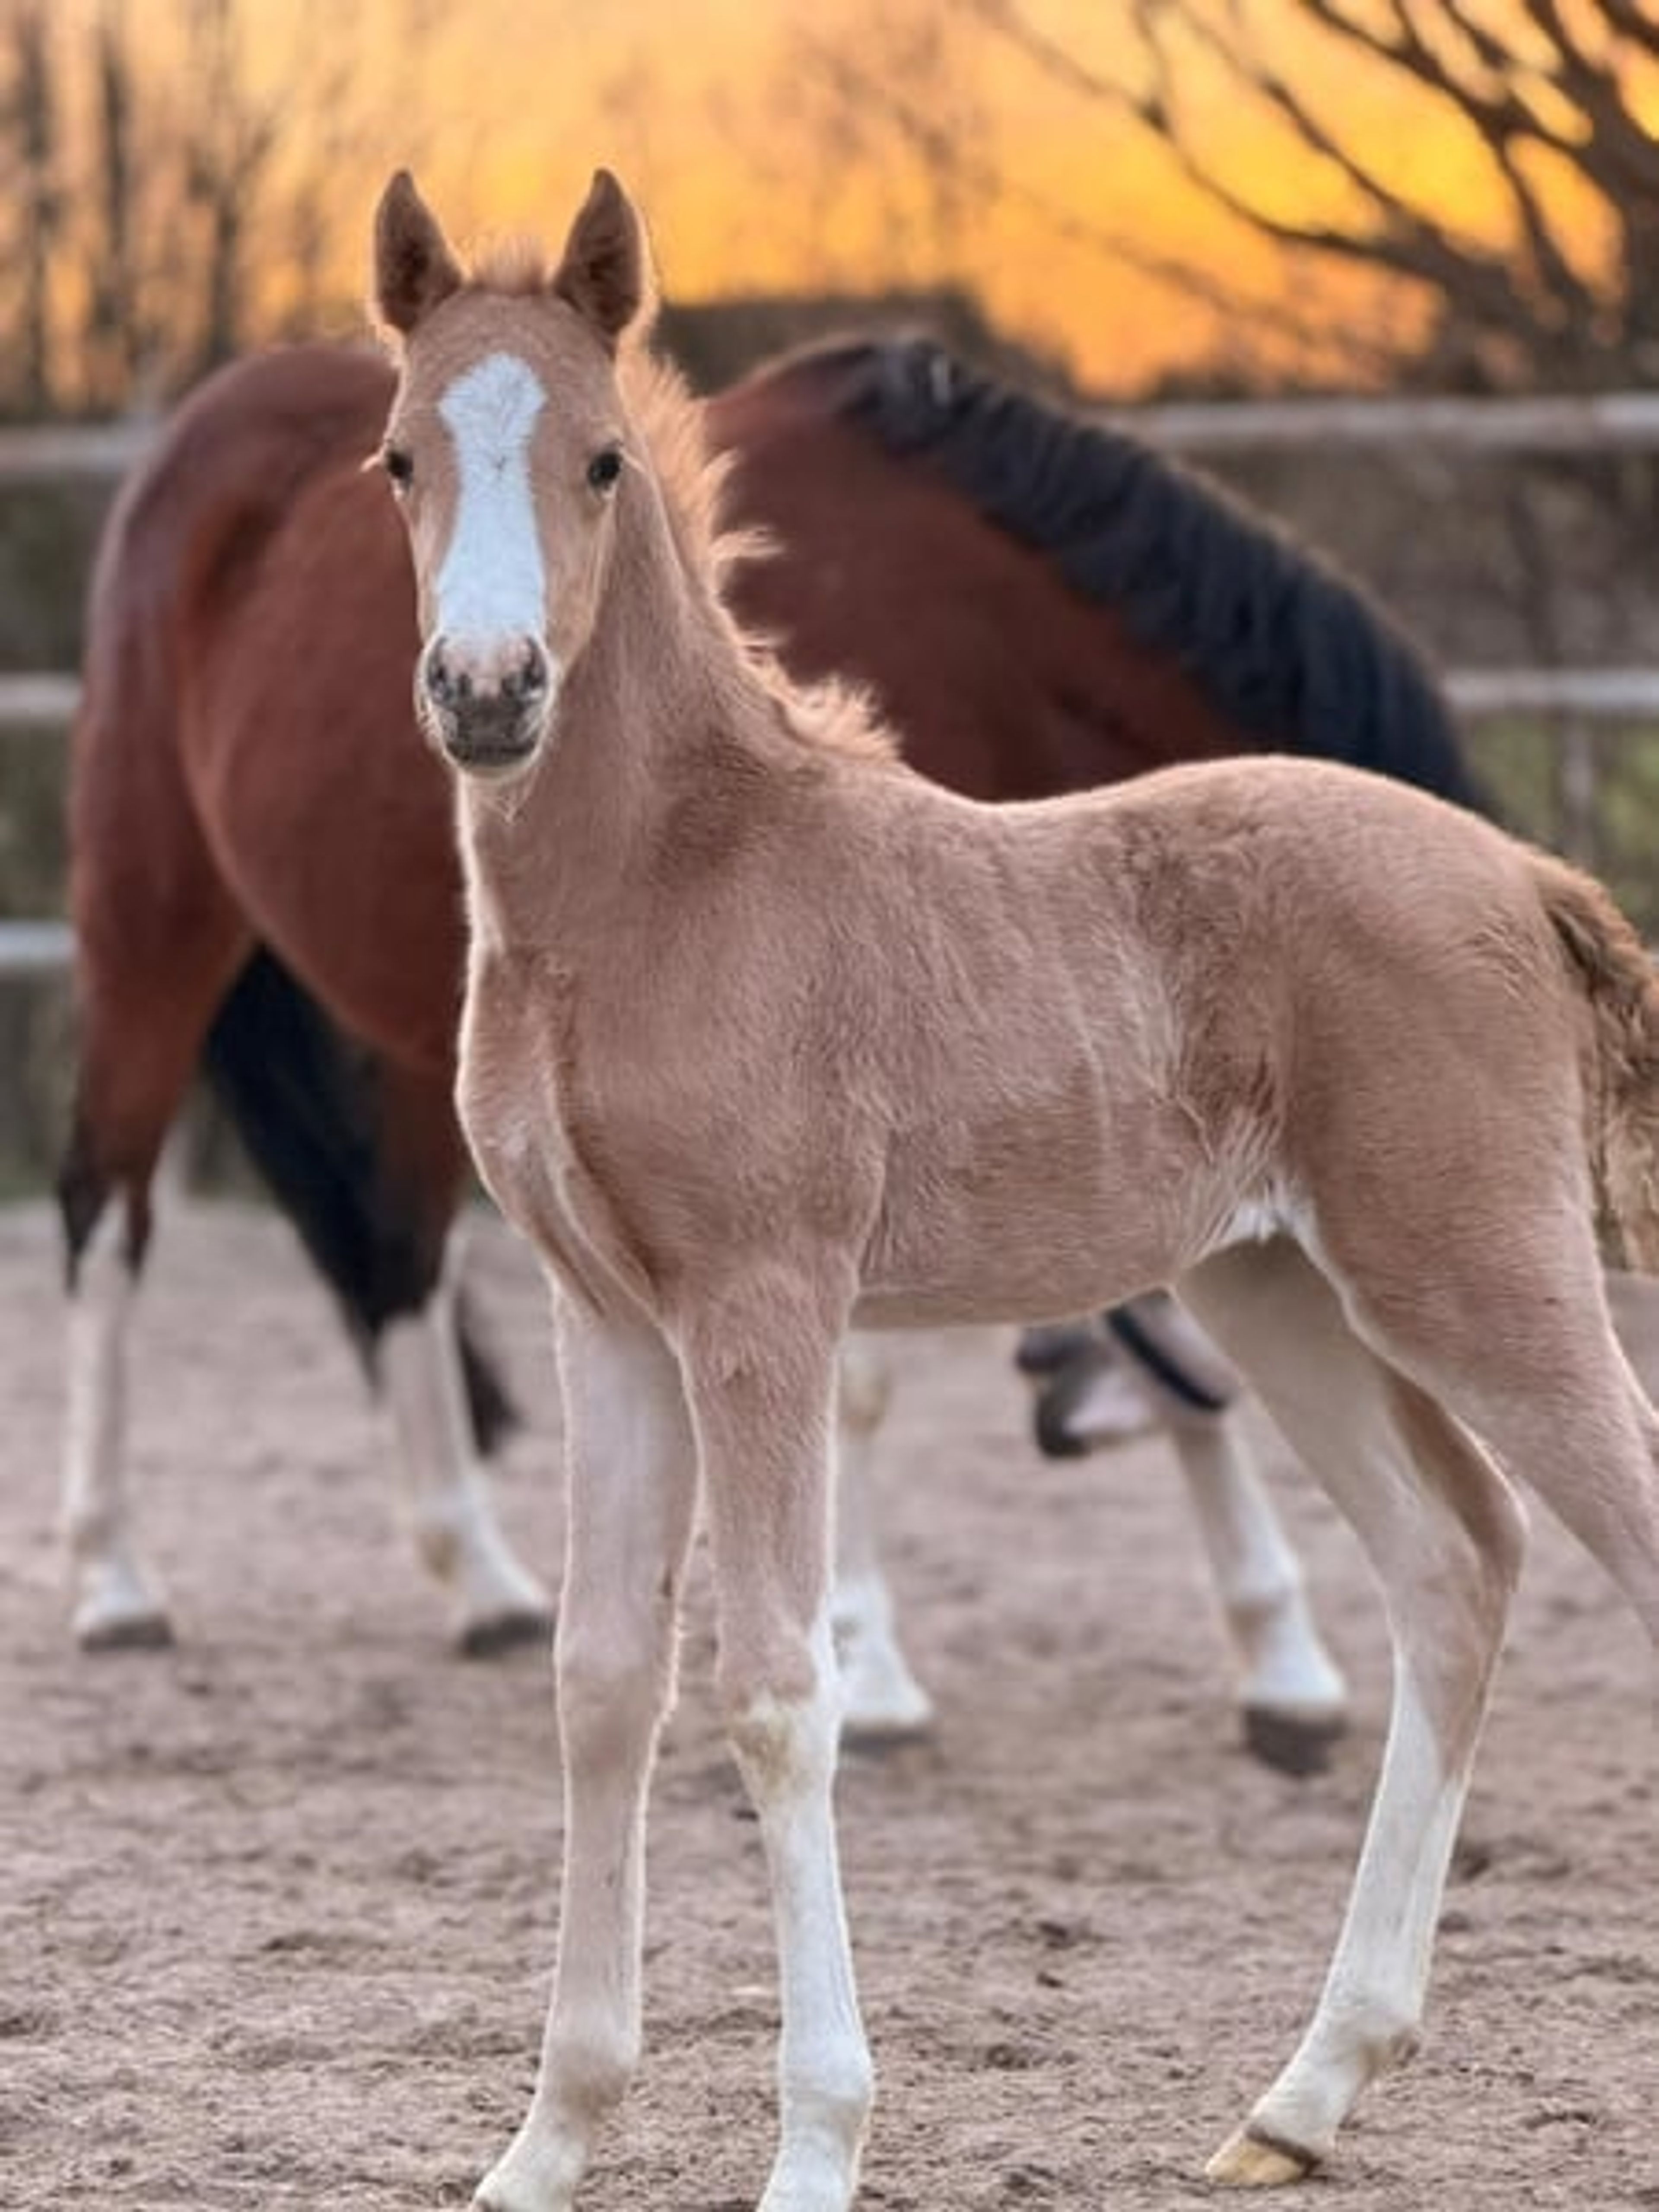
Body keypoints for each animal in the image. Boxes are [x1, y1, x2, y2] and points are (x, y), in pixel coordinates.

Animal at [58, 216, 1476, 1755]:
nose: (1053, 1409)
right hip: (152, 924)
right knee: (106, 1211)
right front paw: (875, 1661)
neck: (981, 640)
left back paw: (482, 1578)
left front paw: (1280, 1659)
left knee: (394, 1249)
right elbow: (862, 1383)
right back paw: (112, 1580)